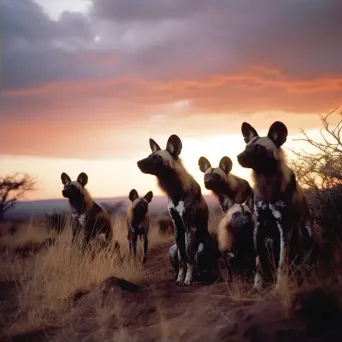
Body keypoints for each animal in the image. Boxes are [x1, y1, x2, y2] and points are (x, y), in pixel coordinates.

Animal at [137, 134, 219, 286]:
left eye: (157, 157)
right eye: (149, 155)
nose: (138, 163)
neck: (174, 190)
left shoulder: (189, 228)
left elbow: (190, 258)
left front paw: (188, 280)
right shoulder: (178, 229)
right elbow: (183, 260)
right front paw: (180, 279)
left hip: (201, 246)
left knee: (205, 267)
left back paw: (201, 277)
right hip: (173, 248)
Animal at [238, 121, 316, 290]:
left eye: (259, 147)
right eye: (246, 146)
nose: (238, 157)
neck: (267, 182)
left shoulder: (284, 228)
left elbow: (282, 264)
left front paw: (280, 287)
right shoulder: (259, 227)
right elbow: (260, 263)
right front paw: (258, 286)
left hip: (305, 232)